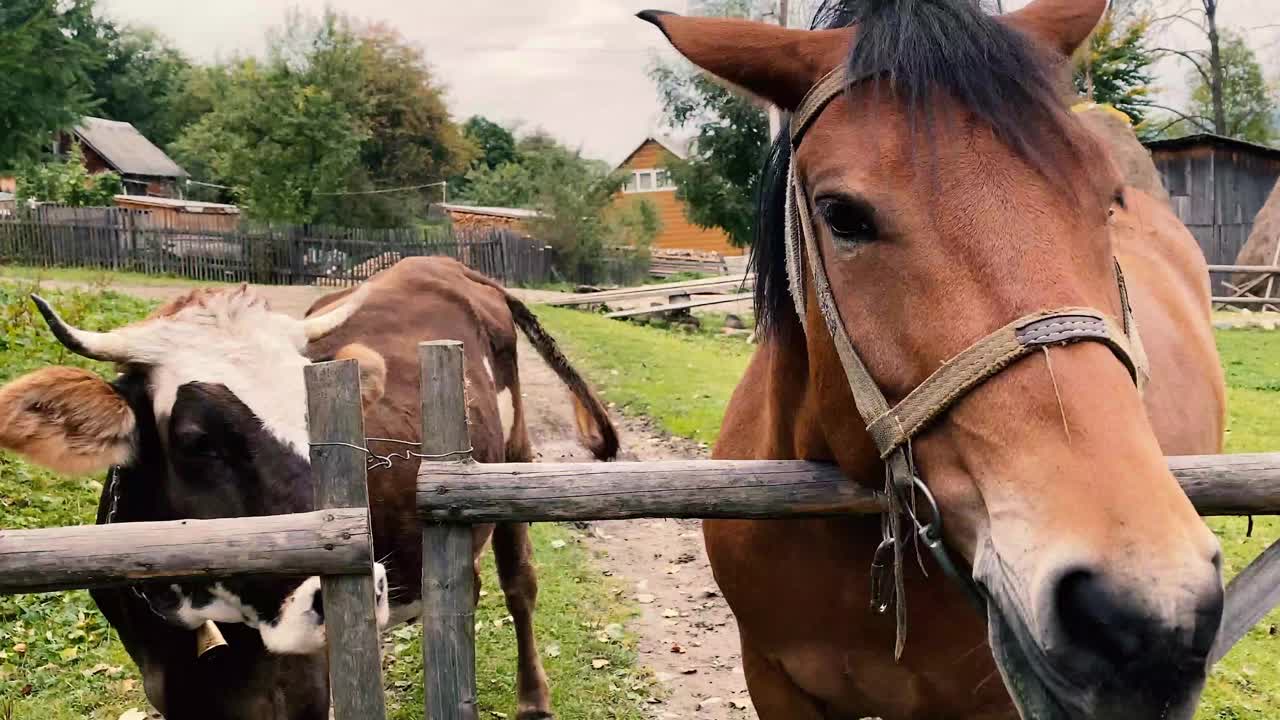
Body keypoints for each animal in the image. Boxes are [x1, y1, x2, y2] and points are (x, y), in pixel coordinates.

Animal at [0, 254, 619, 712]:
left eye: (319, 416)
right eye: (198, 441)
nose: (355, 590)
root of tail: (450, 266)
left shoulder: (303, 683)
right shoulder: (166, 683)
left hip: (513, 457)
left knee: (519, 582)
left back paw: (532, 699)